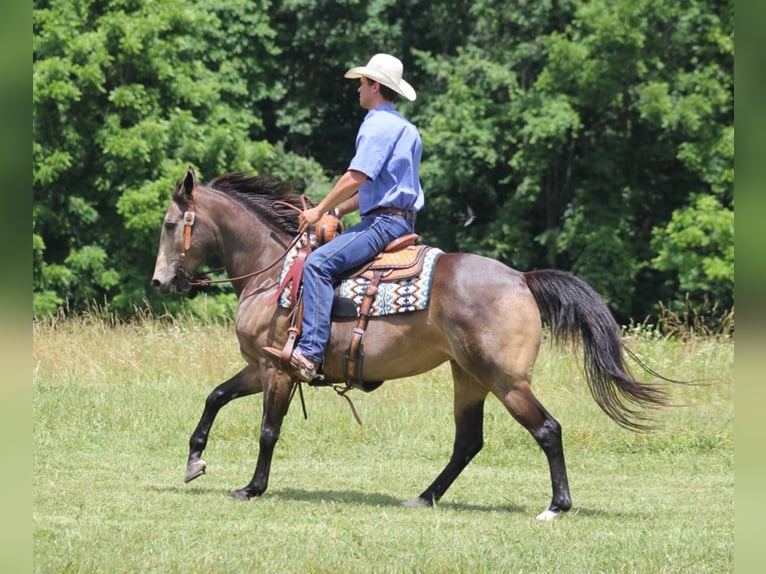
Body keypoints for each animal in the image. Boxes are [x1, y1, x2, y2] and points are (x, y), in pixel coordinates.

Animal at [153, 166, 676, 520]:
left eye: (170, 224)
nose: (160, 281)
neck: (271, 272)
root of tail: (522, 279)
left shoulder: (279, 369)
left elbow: (268, 430)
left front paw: (252, 488)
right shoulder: (259, 367)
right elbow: (216, 396)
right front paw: (195, 460)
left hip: (505, 380)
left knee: (546, 429)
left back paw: (556, 506)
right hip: (468, 376)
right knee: (468, 441)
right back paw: (424, 496)